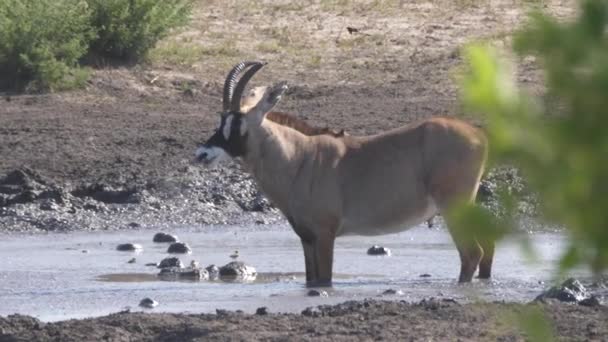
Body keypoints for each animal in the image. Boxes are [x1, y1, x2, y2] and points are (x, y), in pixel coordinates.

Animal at [197, 60, 492, 286]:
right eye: (221, 120)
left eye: (238, 122)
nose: (202, 154)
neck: (299, 157)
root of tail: (478, 135)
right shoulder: (307, 238)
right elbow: (311, 279)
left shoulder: (325, 234)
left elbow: (324, 279)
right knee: (485, 250)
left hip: (454, 207)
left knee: (471, 253)